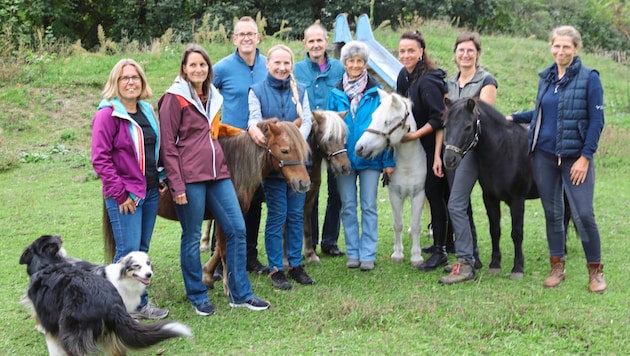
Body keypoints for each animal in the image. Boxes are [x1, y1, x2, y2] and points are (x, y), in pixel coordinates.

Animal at [104, 118, 314, 294]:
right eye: (285, 150)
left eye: (303, 149)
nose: (304, 184)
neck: (232, 167)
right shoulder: (224, 217)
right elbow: (224, 249)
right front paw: (228, 286)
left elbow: (219, 248)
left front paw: (207, 276)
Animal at [304, 110, 354, 262]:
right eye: (329, 137)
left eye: (343, 136)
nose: (345, 167)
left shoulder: (308, 199)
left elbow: (307, 227)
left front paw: (310, 255)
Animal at [356, 89, 430, 268]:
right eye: (373, 117)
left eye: (387, 122)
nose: (359, 148)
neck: (408, 162)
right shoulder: (395, 195)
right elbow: (398, 224)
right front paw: (397, 254)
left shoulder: (419, 194)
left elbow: (416, 225)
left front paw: (416, 257)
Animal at [444, 96, 540, 278]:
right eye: (445, 125)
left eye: (468, 126)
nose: (449, 159)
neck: (503, 152)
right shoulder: (489, 198)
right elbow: (494, 230)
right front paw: (495, 264)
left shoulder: (517, 200)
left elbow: (517, 233)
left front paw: (518, 267)